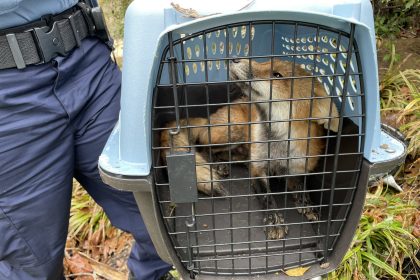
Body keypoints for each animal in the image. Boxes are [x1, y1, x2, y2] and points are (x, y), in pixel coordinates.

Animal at [159, 58, 340, 238]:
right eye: (266, 61)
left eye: (277, 75)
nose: (235, 58)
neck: (278, 146)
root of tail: (208, 118)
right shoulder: (258, 169)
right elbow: (267, 196)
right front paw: (274, 220)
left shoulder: (296, 167)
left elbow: (301, 187)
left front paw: (307, 204)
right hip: (233, 131)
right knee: (205, 149)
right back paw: (218, 165)